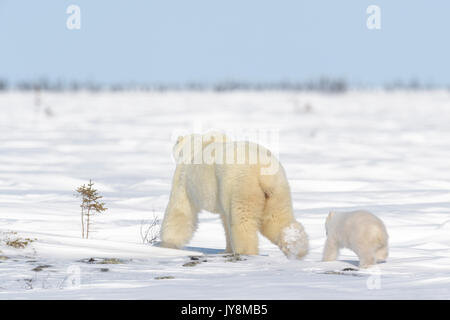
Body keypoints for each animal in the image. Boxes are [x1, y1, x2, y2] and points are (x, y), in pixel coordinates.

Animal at [159, 131, 310, 258]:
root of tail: (261, 171)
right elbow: (225, 220)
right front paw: (226, 250)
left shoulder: (184, 178)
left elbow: (179, 210)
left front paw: (168, 245)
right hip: (278, 190)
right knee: (277, 219)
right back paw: (297, 248)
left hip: (241, 185)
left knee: (243, 222)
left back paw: (245, 251)